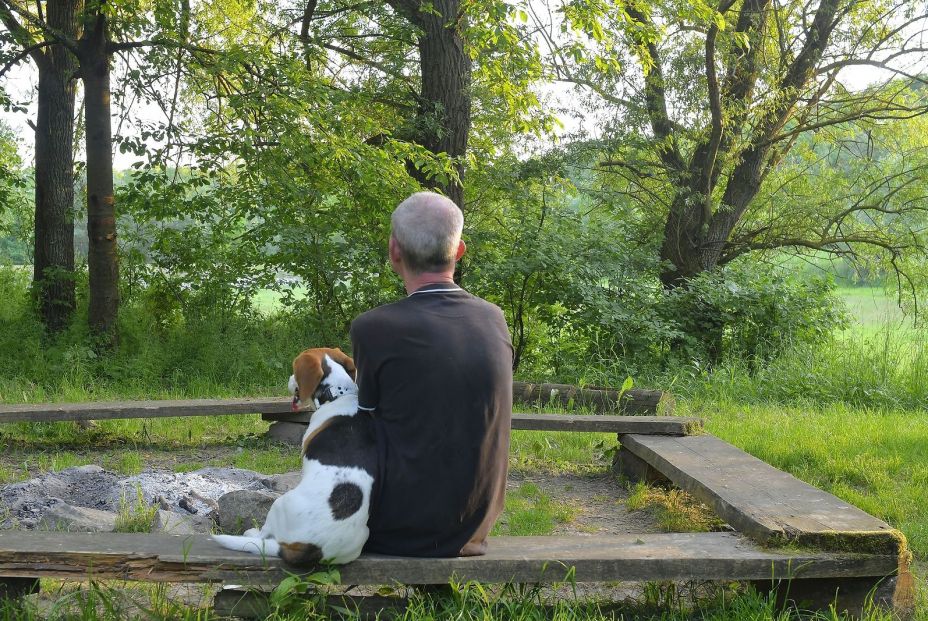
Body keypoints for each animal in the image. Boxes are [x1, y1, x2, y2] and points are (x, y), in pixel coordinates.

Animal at [213, 346, 376, 564]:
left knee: (264, 534)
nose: (290, 378)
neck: (338, 394)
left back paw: (252, 534)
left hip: (279, 503)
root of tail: (312, 549)